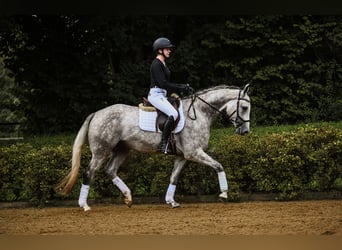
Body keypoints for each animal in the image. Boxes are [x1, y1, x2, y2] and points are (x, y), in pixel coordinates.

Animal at [56, 84, 251, 211]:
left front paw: (171, 201)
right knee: (89, 172)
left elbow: (174, 177)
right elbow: (219, 166)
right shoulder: (194, 152)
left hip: (122, 149)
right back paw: (84, 205)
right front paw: (224, 194)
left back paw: (128, 198)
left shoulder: (182, 156)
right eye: (244, 107)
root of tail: (97, 113)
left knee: (110, 170)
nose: (245, 131)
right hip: (101, 151)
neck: (200, 113)